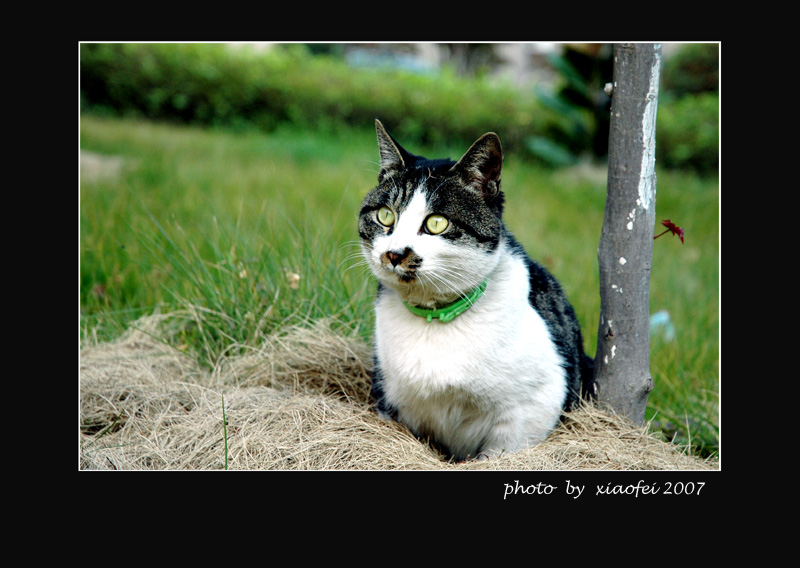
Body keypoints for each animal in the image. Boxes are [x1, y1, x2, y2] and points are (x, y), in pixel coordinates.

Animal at [360, 120, 592, 462]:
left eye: (437, 223)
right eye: (385, 214)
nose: (394, 253)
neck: (435, 317)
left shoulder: (531, 410)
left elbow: (501, 452)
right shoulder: (391, 400)